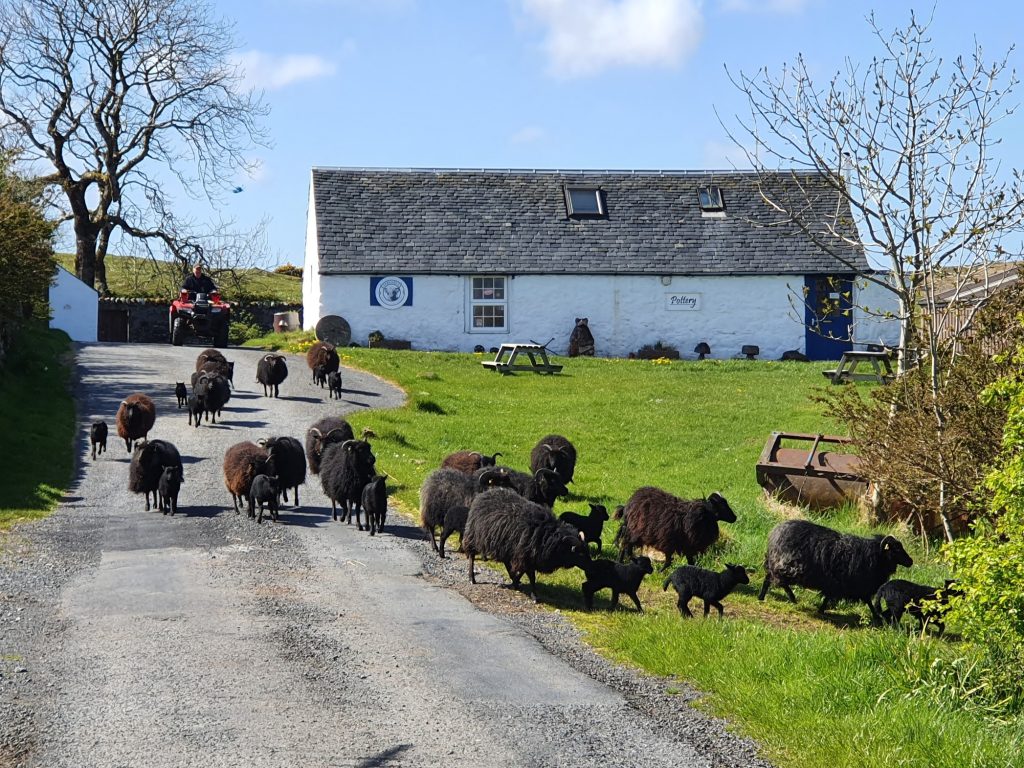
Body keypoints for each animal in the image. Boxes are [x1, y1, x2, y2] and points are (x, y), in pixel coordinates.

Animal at [460, 489, 589, 606]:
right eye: (580, 554)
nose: (591, 567)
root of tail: (485, 493)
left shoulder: (528, 556)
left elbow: (523, 572)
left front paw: (516, 583)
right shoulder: (525, 554)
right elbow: (531, 576)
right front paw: (533, 596)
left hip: (506, 545)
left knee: (506, 562)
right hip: (474, 535)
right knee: (471, 555)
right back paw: (471, 578)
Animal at [757, 520, 917, 622]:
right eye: (897, 549)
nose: (911, 561)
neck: (875, 555)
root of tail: (776, 533)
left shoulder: (842, 584)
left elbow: (831, 597)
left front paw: (821, 610)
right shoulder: (854, 584)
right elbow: (867, 601)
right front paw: (877, 617)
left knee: (770, 577)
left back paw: (763, 597)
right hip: (790, 566)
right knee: (775, 578)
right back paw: (790, 597)